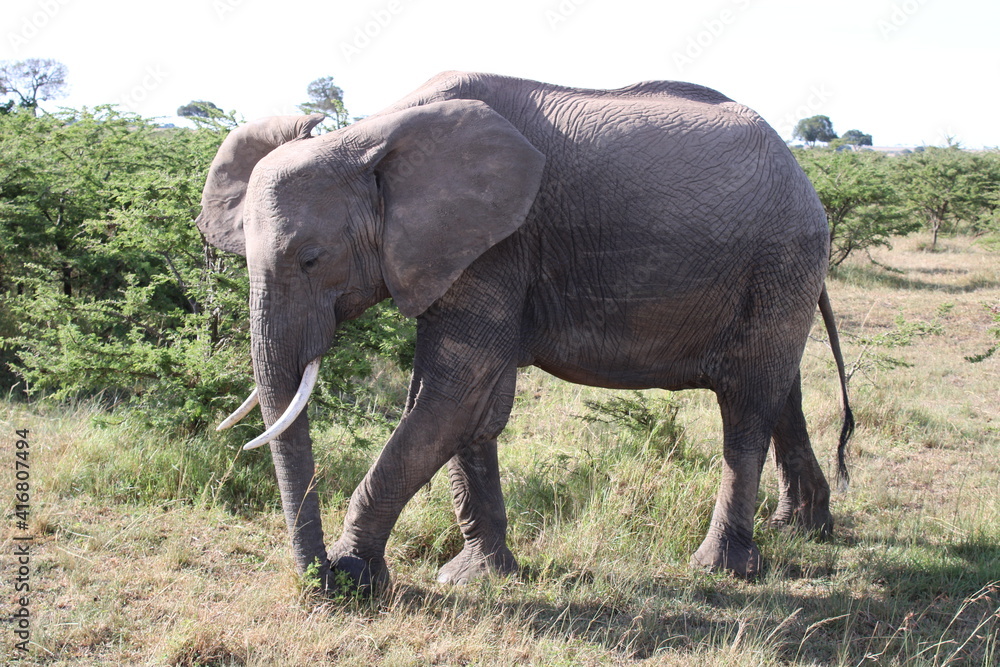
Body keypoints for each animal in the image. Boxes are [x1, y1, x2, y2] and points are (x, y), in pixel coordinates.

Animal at [195, 72, 852, 596]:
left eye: (311, 259)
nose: (320, 582)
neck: (367, 137)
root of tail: (804, 177)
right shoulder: (463, 248)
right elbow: (467, 410)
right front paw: (478, 578)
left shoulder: (497, 244)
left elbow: (451, 393)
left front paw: (358, 580)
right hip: (780, 273)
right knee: (780, 392)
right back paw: (804, 529)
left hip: (780, 258)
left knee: (745, 410)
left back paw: (721, 569)